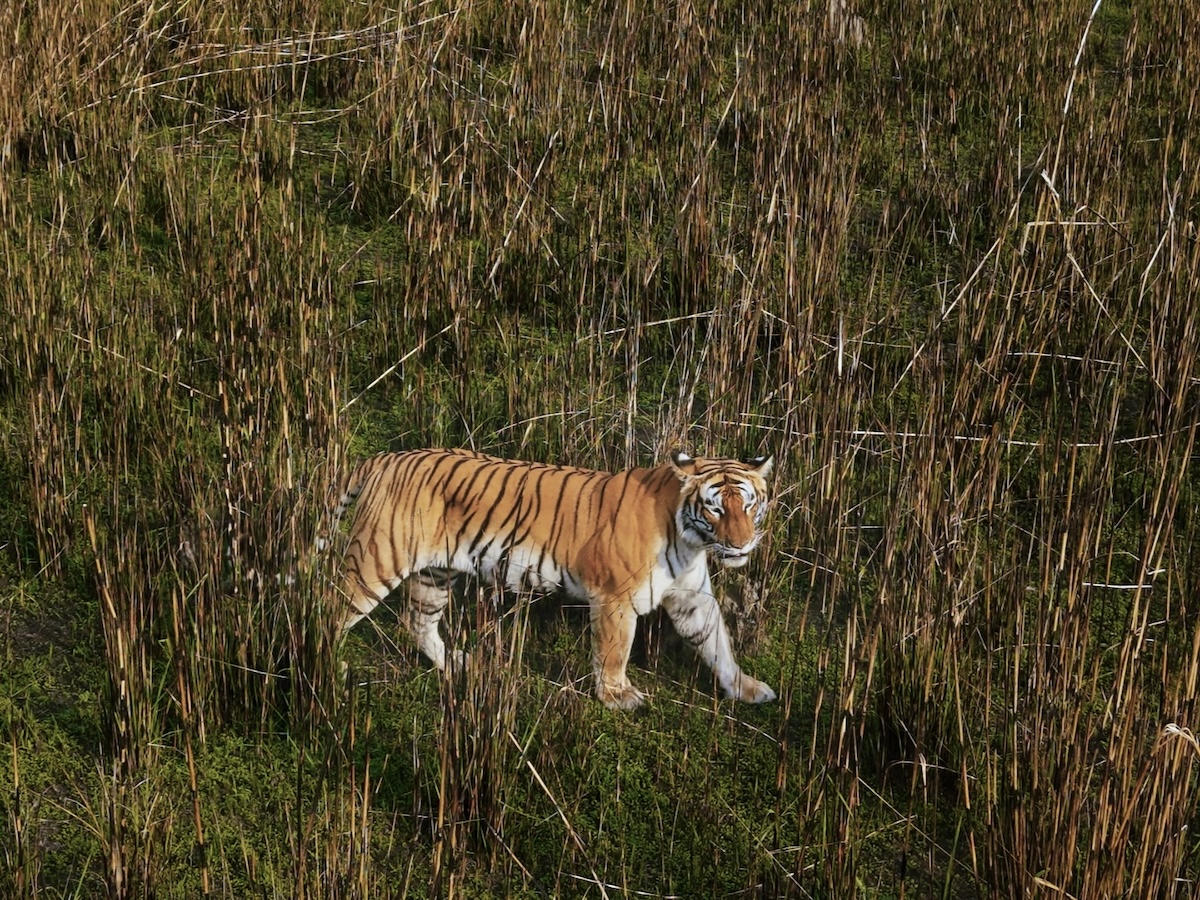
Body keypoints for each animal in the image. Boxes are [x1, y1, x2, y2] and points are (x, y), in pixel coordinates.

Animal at [329, 448, 776, 710]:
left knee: (417, 621)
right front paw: (617, 696)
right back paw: (327, 666)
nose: (741, 545)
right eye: (715, 508)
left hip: (435, 573)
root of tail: (388, 457)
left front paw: (746, 688)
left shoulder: (692, 598)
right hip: (376, 561)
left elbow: (719, 645)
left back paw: (454, 663)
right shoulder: (615, 598)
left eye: (749, 504)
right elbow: (614, 651)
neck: (691, 540)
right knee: (330, 609)